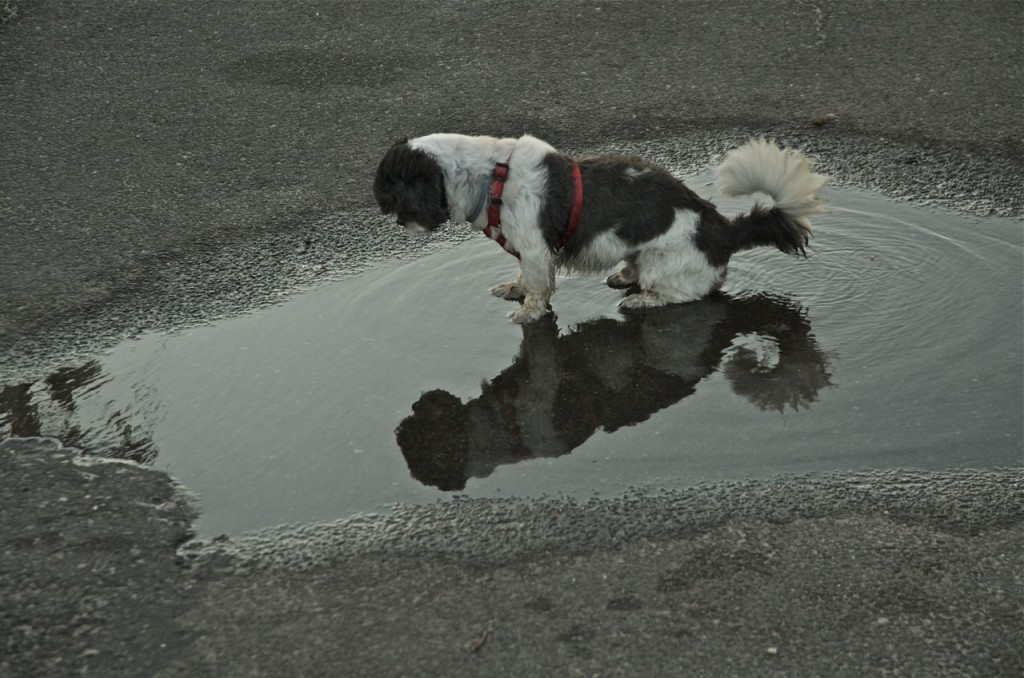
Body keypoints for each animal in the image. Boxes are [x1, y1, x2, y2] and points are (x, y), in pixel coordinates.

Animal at [372, 134, 827, 325]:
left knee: (686, 294)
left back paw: (643, 299)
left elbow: (537, 288)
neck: (491, 178)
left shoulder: (536, 249)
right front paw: (514, 288)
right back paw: (625, 275)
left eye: (396, 197)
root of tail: (724, 229)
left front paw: (529, 312)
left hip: (664, 262)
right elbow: (526, 278)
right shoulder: (528, 252)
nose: (393, 218)